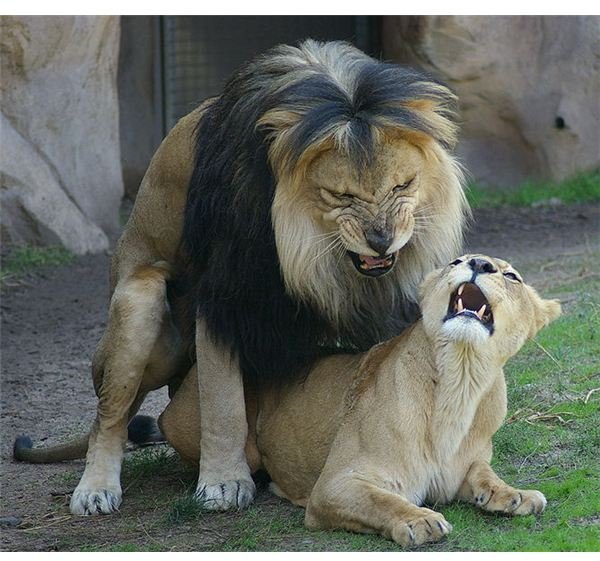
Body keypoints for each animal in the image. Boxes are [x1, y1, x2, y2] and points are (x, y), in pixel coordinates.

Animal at [12, 38, 468, 512]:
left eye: (402, 185)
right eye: (340, 195)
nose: (381, 240)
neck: (313, 253)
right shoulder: (225, 293)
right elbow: (222, 401)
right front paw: (223, 483)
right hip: (139, 299)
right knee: (110, 414)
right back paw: (96, 490)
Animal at [156, 256, 564, 544]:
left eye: (512, 277)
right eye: (456, 261)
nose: (479, 264)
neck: (460, 380)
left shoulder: (462, 468)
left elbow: (485, 474)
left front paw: (514, 495)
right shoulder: (335, 484)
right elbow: (382, 500)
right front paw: (420, 520)